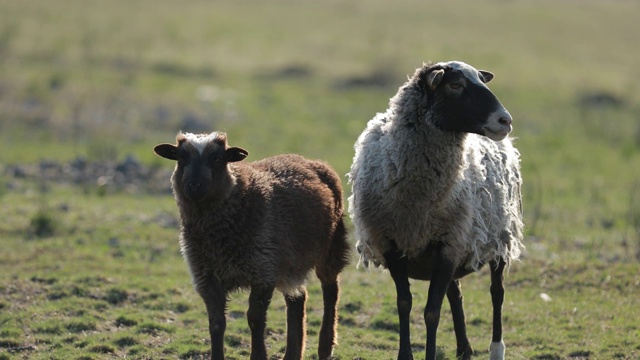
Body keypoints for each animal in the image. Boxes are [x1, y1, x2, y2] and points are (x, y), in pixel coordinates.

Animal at [348, 61, 524, 360]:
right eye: (455, 85)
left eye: (481, 80)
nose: (505, 120)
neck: (418, 204)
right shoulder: (394, 242)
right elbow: (404, 303)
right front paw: (405, 355)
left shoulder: (447, 245)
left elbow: (432, 312)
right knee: (456, 294)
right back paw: (464, 349)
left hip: (498, 236)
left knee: (496, 292)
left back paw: (496, 348)